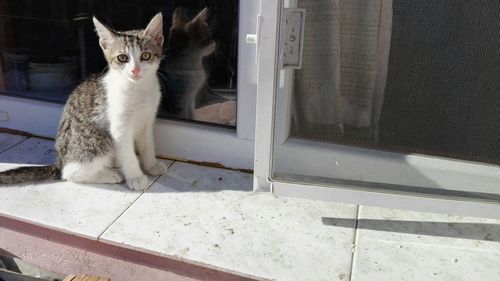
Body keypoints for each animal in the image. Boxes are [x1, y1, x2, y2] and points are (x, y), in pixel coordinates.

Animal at [0, 12, 168, 189]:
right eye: (122, 58)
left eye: (146, 56)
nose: (135, 70)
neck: (138, 88)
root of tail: (60, 160)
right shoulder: (119, 128)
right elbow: (128, 154)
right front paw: (136, 177)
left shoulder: (147, 120)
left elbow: (147, 145)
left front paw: (151, 166)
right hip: (98, 138)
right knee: (70, 172)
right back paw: (109, 174)